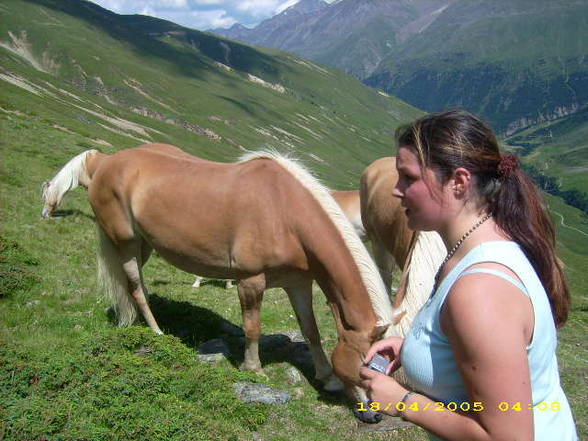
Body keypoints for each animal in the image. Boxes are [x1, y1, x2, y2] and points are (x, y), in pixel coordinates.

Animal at [88, 144, 400, 420]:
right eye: (365, 367)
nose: (375, 415)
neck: (285, 213)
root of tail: (106, 162)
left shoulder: (298, 284)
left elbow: (311, 330)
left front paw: (327, 377)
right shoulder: (251, 282)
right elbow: (253, 326)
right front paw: (253, 367)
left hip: (144, 245)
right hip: (126, 243)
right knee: (135, 287)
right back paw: (156, 332)